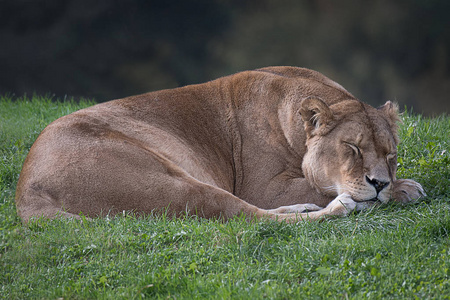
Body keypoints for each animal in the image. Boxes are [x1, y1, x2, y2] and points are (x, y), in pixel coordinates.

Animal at [14, 67, 426, 223]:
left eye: (390, 154)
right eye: (352, 148)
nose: (379, 182)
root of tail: (26, 191)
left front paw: (396, 185)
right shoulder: (262, 186)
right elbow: (317, 186)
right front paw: (403, 189)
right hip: (168, 184)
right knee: (248, 216)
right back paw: (339, 207)